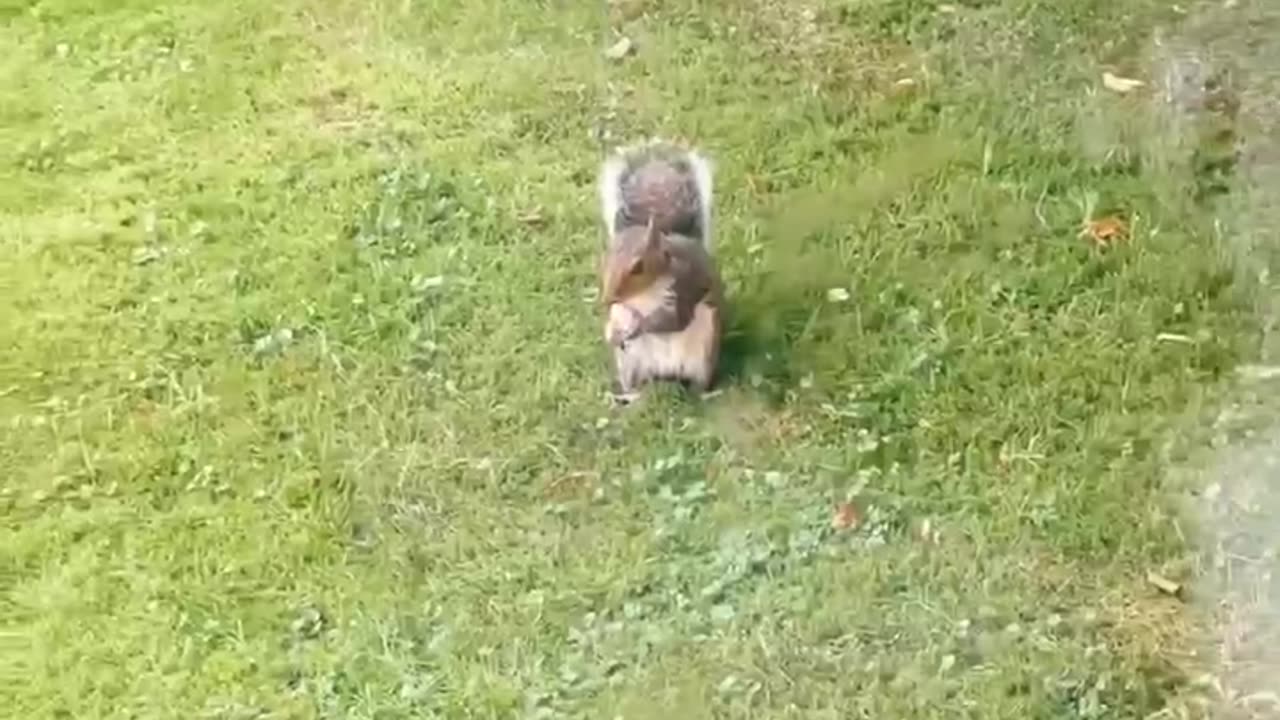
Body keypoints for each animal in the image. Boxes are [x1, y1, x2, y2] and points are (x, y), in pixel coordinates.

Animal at [596, 137, 727, 399]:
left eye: (638, 267)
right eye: (606, 259)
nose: (607, 300)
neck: (645, 294)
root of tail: (665, 372)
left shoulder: (684, 286)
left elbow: (675, 320)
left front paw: (639, 327)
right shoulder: (624, 307)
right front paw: (612, 332)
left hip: (704, 352)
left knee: (699, 382)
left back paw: (705, 395)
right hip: (631, 363)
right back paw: (630, 397)